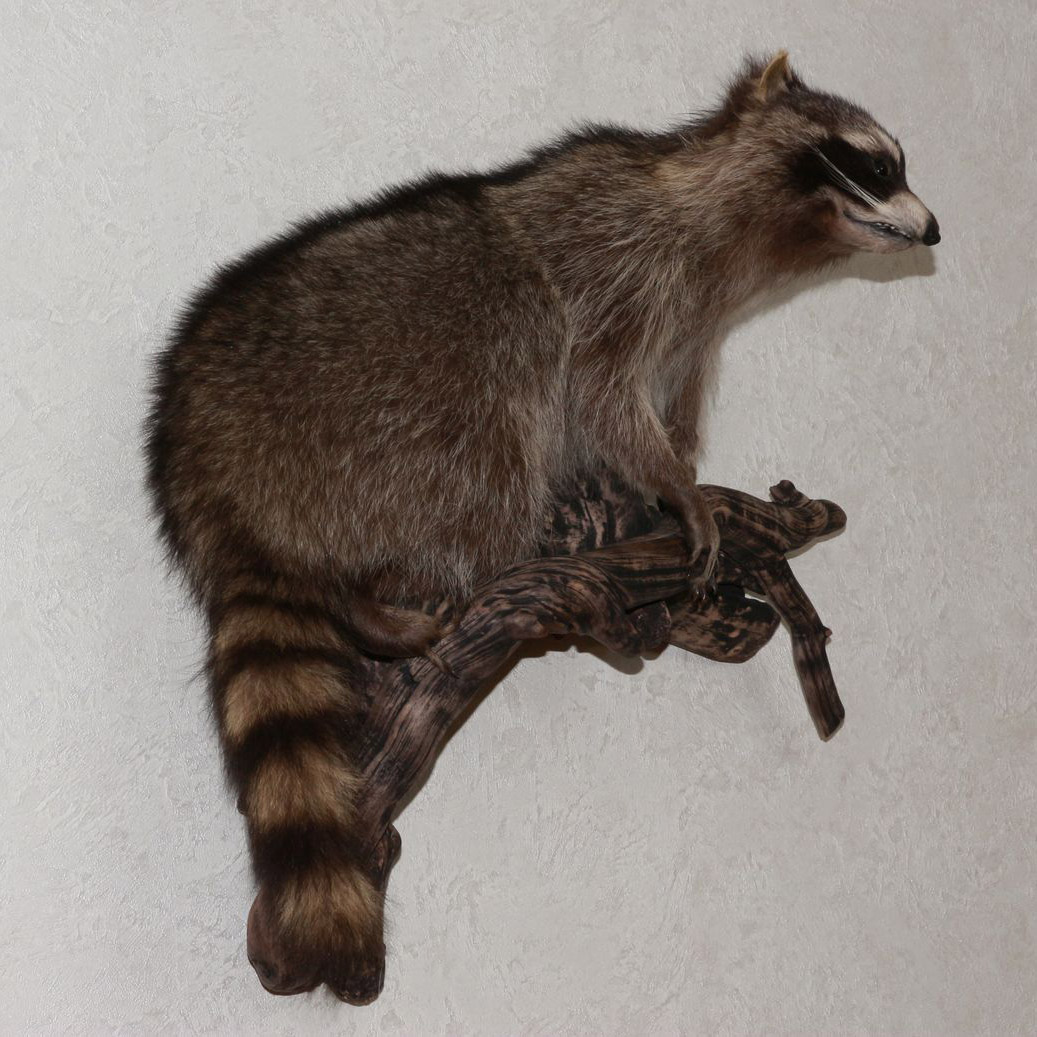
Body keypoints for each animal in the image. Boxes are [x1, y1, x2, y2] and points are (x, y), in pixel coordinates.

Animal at [145, 52, 938, 999]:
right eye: (875, 164)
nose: (934, 228)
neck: (731, 225)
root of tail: (206, 477)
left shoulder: (692, 327)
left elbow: (668, 401)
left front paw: (674, 470)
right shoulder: (619, 269)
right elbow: (601, 391)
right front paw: (676, 487)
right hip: (373, 407)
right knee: (495, 442)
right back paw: (377, 592)